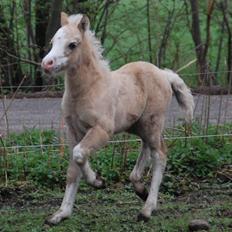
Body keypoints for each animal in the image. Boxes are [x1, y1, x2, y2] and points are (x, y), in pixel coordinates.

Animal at [41, 12, 194, 225]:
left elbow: (79, 154)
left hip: (153, 122)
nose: (46, 64)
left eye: (72, 44)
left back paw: (147, 209)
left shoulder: (102, 131)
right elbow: (73, 169)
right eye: (53, 41)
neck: (89, 89)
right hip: (139, 125)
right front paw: (60, 214)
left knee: (160, 154)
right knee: (146, 147)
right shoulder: (73, 131)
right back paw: (140, 189)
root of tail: (163, 74)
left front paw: (97, 181)